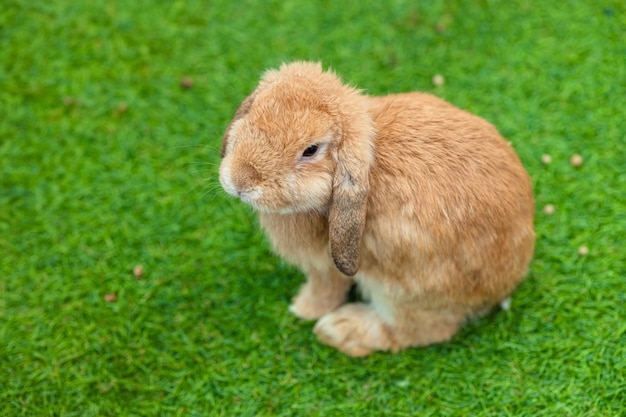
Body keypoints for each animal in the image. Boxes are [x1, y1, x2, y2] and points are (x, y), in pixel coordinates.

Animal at [218, 61, 532, 358]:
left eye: (311, 150)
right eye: (252, 111)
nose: (240, 181)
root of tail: (508, 280)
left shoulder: (326, 266)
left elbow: (325, 289)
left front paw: (303, 308)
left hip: (405, 291)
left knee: (417, 331)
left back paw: (339, 329)